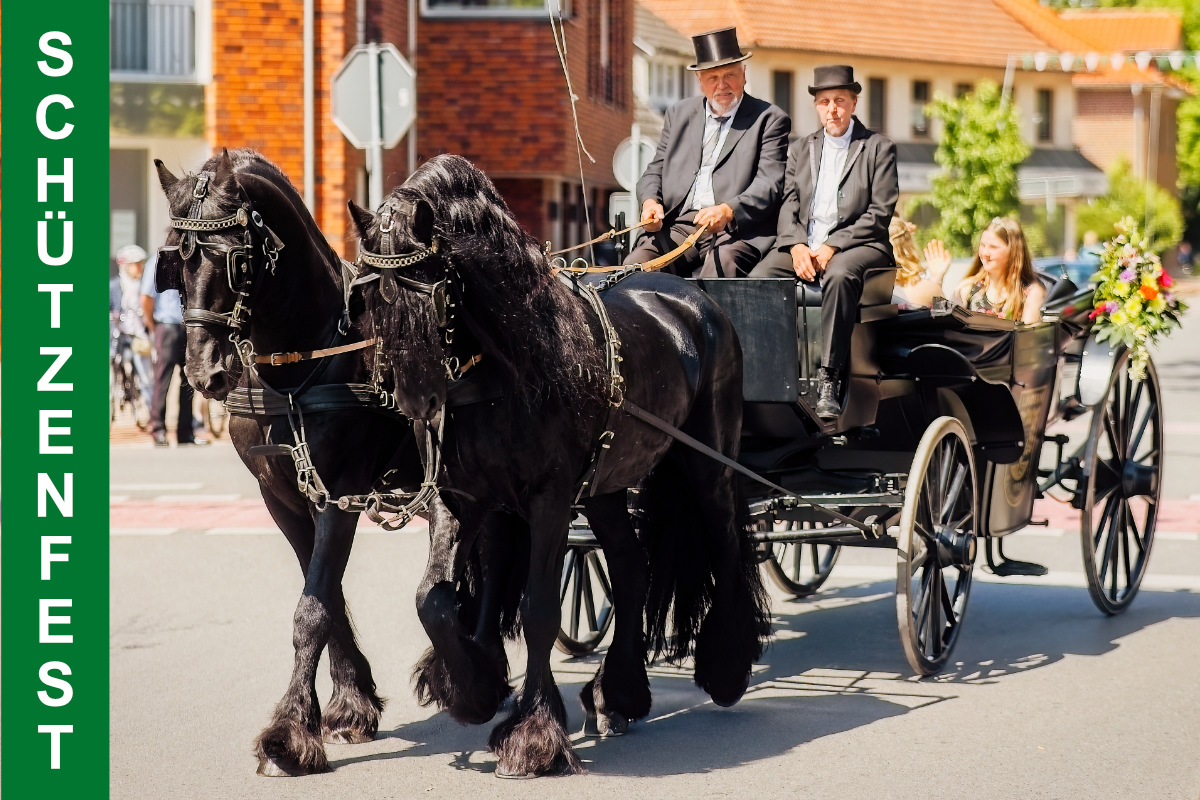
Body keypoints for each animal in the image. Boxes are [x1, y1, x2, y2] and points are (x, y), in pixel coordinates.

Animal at [151, 148, 516, 777]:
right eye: (175, 258)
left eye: (237, 260)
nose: (205, 373)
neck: (302, 366)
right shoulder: (286, 498)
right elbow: (326, 597)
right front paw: (350, 705)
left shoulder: (340, 494)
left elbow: (313, 610)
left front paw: (288, 736)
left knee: (491, 560)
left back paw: (482, 670)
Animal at [350, 154, 772, 777]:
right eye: (370, 296)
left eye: (435, 290)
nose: (415, 400)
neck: (509, 362)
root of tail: (692, 297)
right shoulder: (462, 498)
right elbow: (434, 598)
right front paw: (472, 689)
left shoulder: (548, 500)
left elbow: (539, 608)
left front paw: (532, 735)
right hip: (607, 485)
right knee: (631, 569)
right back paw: (618, 693)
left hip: (706, 465)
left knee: (722, 541)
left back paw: (724, 665)